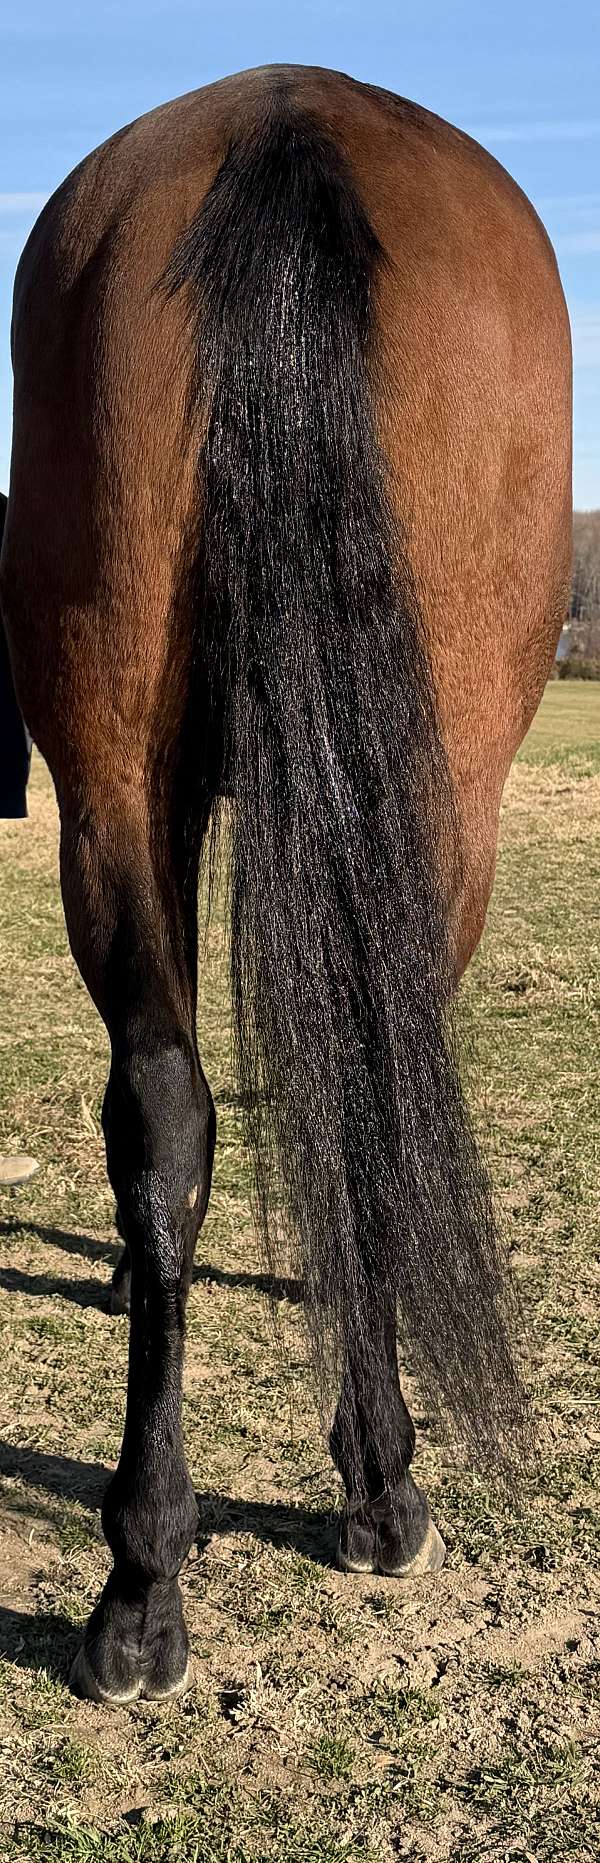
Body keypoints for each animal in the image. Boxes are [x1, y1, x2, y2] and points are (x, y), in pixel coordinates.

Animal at [0, 65, 572, 1706]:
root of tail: (286, 123)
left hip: (112, 782)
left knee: (162, 1113)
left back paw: (141, 1581)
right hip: (443, 797)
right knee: (360, 1089)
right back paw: (381, 1482)